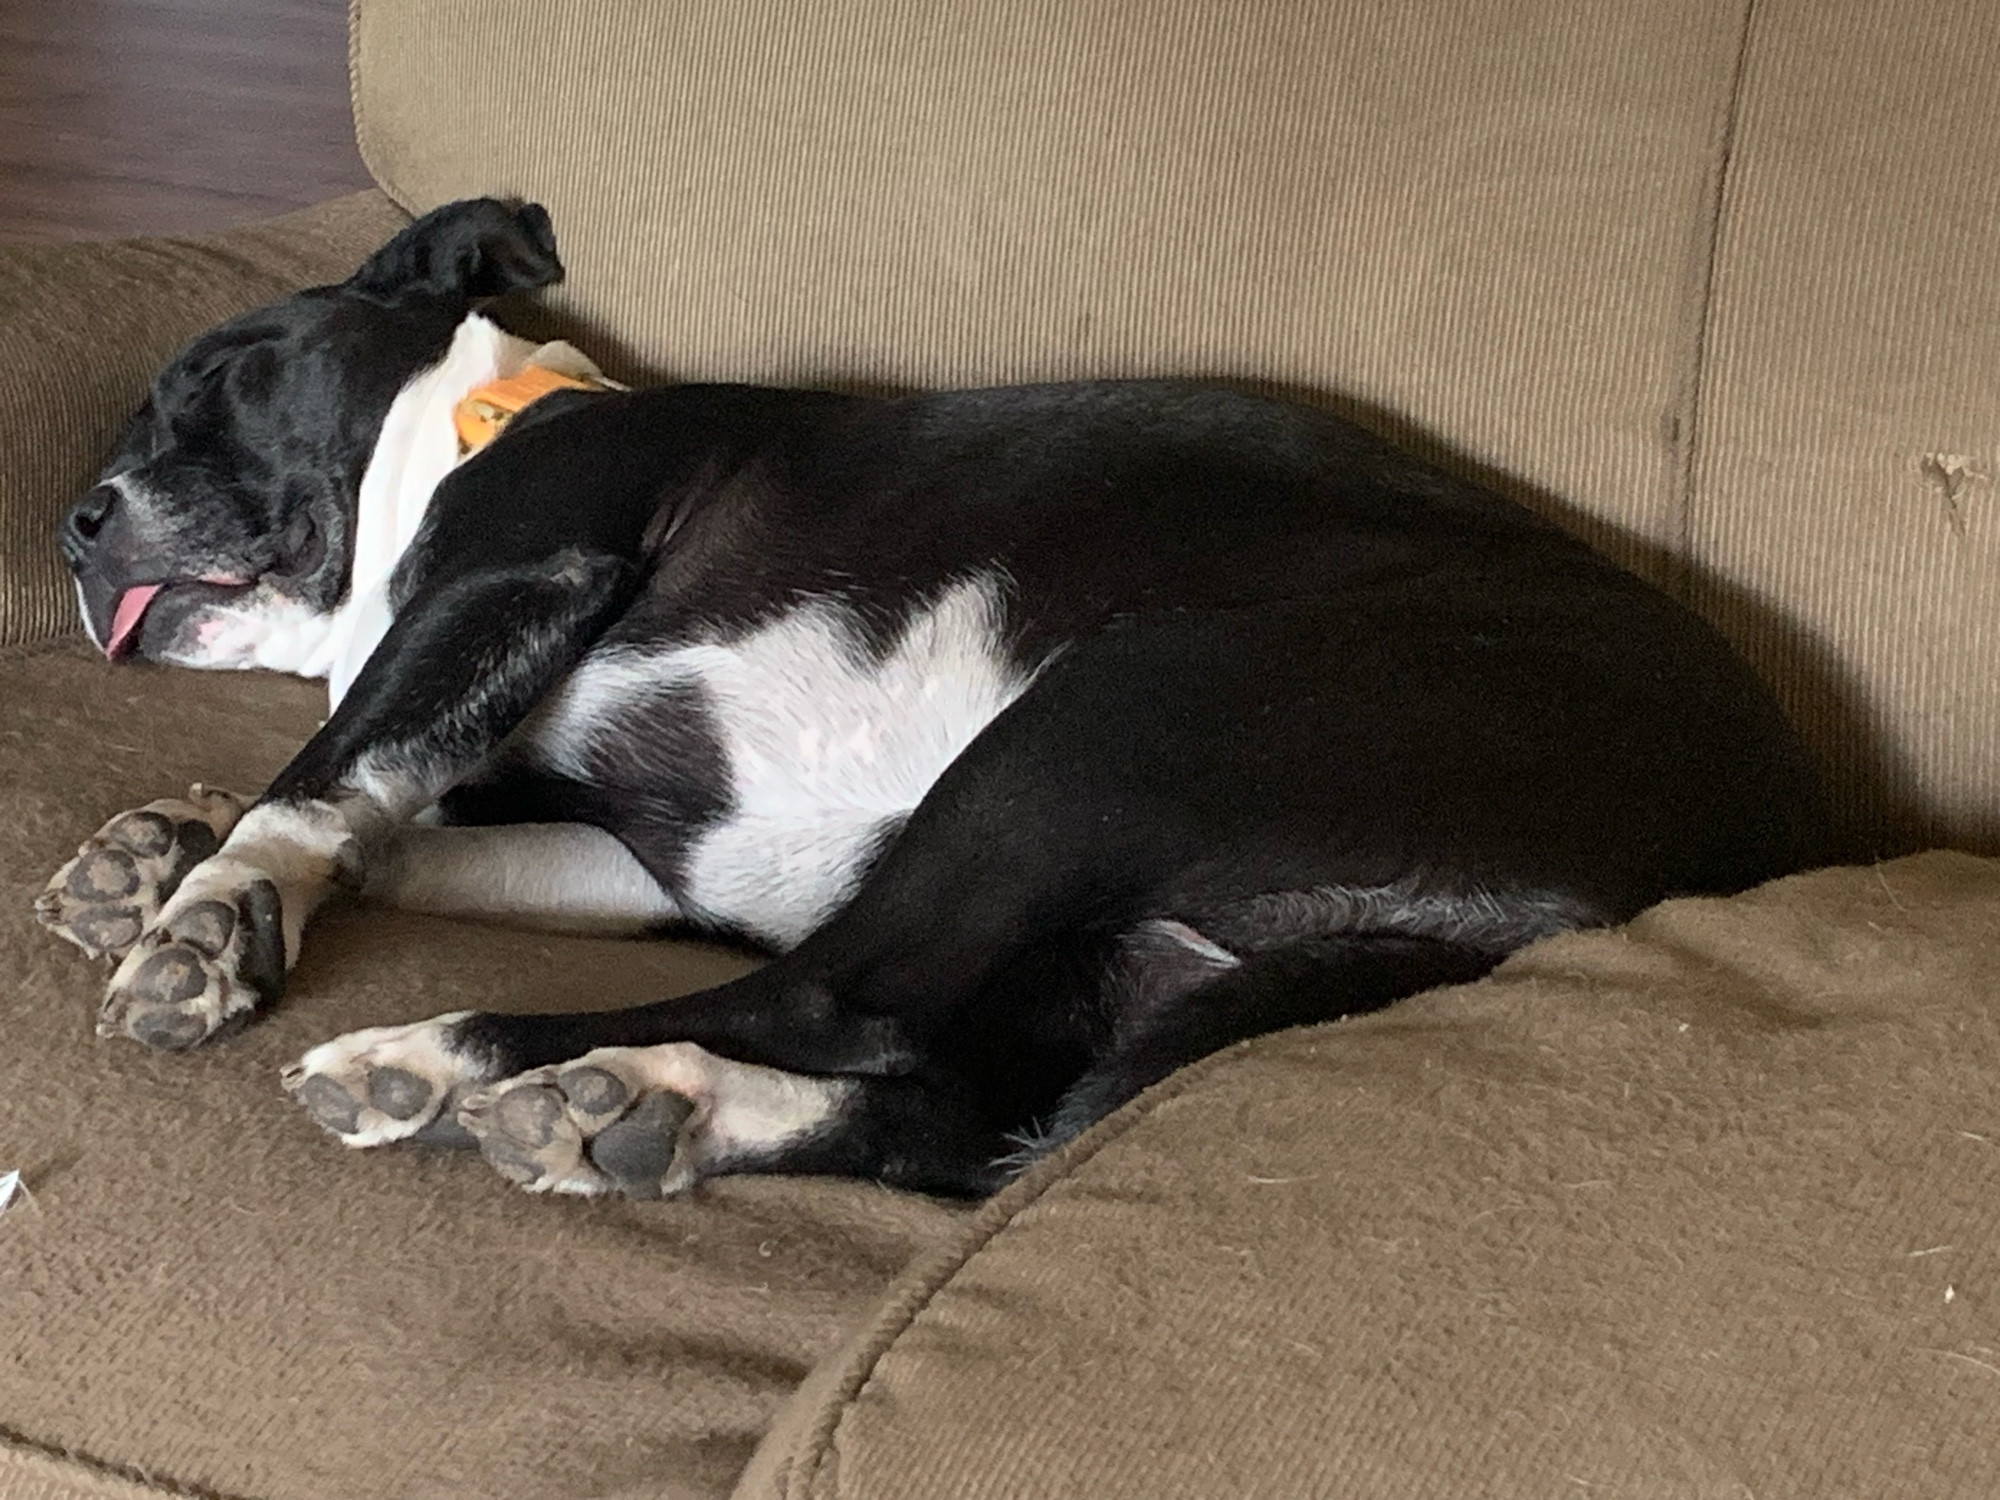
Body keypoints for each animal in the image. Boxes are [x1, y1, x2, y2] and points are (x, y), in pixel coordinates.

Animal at [39, 206, 1832, 1208]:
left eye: (217, 375)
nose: (73, 523)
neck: (486, 419)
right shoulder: (639, 850)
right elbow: (401, 816)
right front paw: (157, 850)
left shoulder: (526, 564)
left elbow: (324, 775)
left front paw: (212, 914)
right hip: (1101, 956)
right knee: (963, 1119)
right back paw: (654, 1116)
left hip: (1090, 732)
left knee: (836, 1002)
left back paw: (451, 1063)